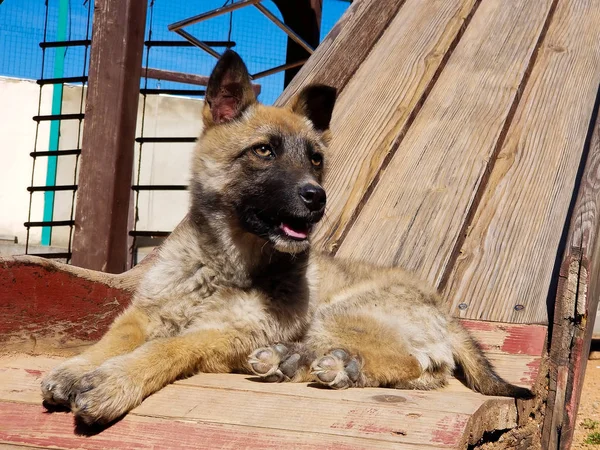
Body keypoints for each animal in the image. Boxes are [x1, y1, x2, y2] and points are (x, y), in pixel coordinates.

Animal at [39, 51, 532, 428]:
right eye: (263, 150)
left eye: (315, 159)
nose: (317, 198)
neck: (221, 266)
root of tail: (446, 313)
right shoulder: (146, 312)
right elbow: (111, 338)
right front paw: (75, 369)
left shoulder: (220, 334)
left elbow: (163, 349)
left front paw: (113, 382)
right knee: (428, 371)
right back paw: (296, 361)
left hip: (337, 314)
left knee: (415, 363)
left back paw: (336, 365)